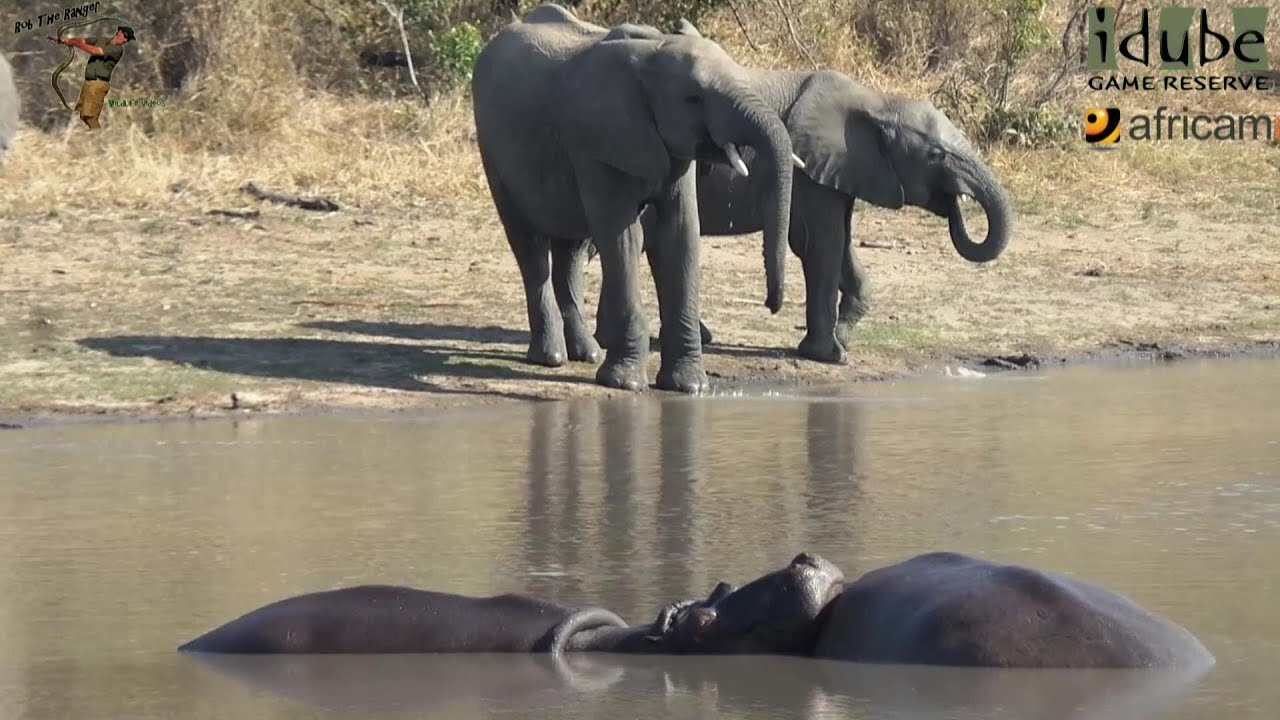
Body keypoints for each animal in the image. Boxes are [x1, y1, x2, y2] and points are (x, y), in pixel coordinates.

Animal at [468, 1, 798, 392]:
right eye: (693, 98)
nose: (771, 304)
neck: (651, 53)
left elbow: (679, 236)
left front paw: (688, 387)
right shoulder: (597, 141)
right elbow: (623, 238)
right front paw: (624, 384)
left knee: (570, 250)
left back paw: (586, 353)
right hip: (494, 153)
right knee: (530, 248)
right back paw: (550, 357)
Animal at [586, 21, 1008, 361]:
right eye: (937, 155)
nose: (958, 201)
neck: (877, 102)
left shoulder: (839, 173)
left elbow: (842, 245)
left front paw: (842, 338)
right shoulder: (813, 174)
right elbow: (820, 244)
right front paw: (829, 356)